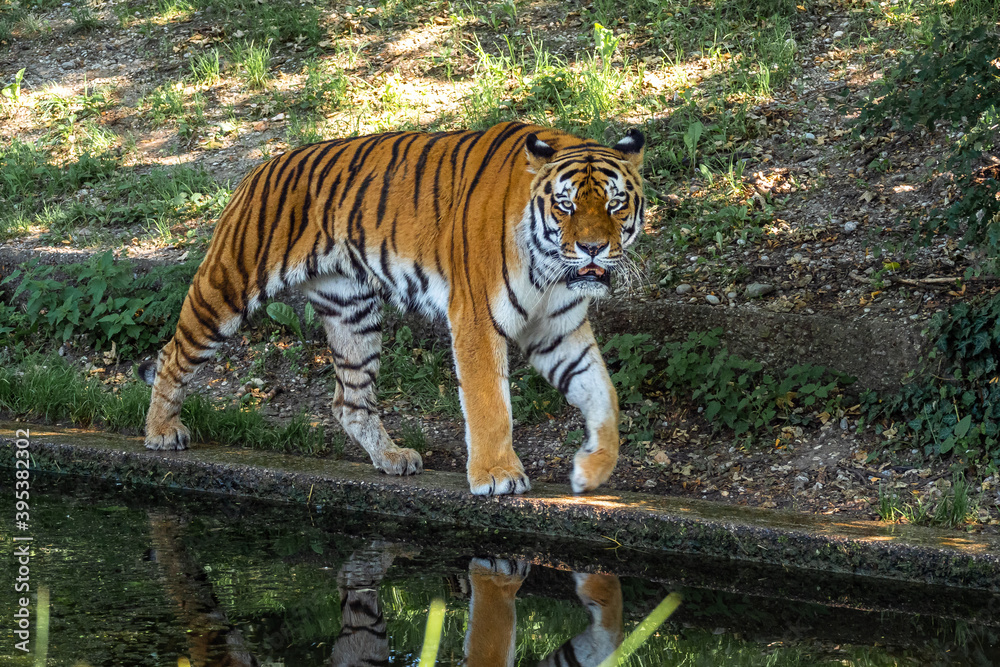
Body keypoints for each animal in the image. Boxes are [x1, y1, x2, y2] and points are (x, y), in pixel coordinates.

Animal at [137, 120, 644, 496]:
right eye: (565, 205)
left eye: (616, 204)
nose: (594, 248)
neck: (551, 267)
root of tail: (262, 165)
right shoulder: (477, 319)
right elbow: (489, 404)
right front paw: (498, 476)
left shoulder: (558, 329)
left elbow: (603, 394)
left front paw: (592, 472)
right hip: (228, 287)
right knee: (174, 353)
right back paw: (161, 431)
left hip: (351, 311)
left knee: (349, 401)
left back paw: (392, 458)